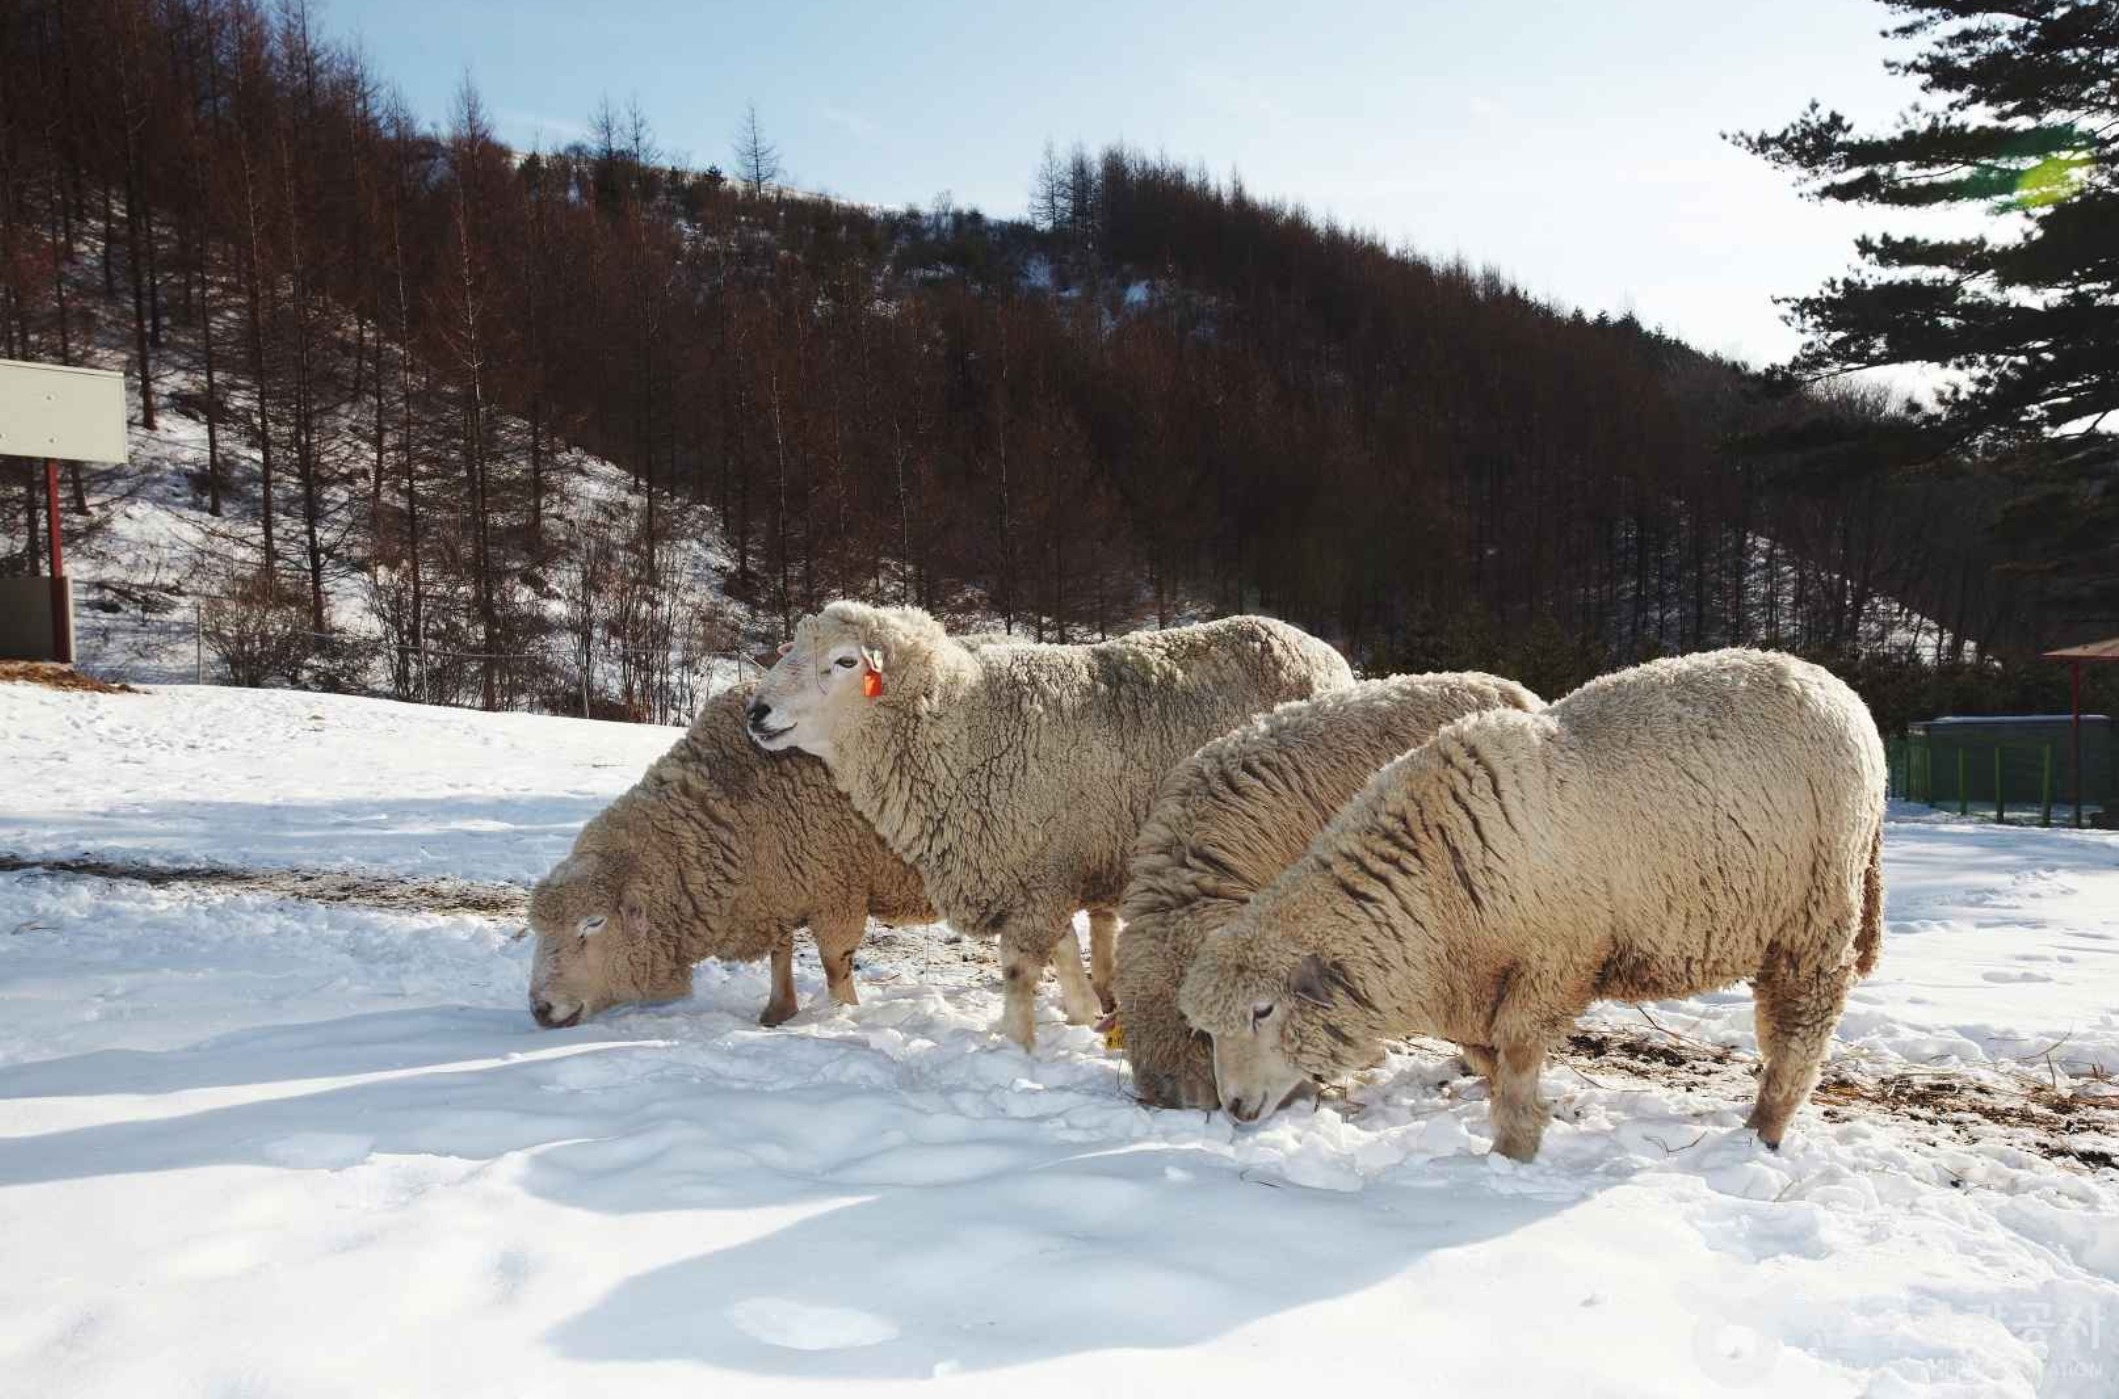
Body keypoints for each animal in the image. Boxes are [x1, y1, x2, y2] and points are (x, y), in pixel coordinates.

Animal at [521, 686, 936, 1025]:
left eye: (593, 923)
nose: (540, 1009)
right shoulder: (777, 887)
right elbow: (780, 952)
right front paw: (778, 1011)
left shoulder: (840, 890)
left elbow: (834, 964)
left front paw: (841, 1015)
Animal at [745, 601, 1356, 1051]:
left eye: (845, 662)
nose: (756, 713)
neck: (968, 728)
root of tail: (1324, 653)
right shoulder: (1041, 872)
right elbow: (1065, 951)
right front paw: (1083, 1016)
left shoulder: (1042, 872)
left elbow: (1020, 969)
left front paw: (1018, 1047)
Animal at [1178, 648, 1890, 1161]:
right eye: (1204, 1030)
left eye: (1263, 1010)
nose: (1233, 1110)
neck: (1432, 882)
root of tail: (1836, 686)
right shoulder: (1472, 983)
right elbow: (1489, 1060)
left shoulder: (1555, 961)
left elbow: (1517, 1055)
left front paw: (1515, 1148)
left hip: (1815, 912)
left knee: (1800, 1024)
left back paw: (1765, 1127)